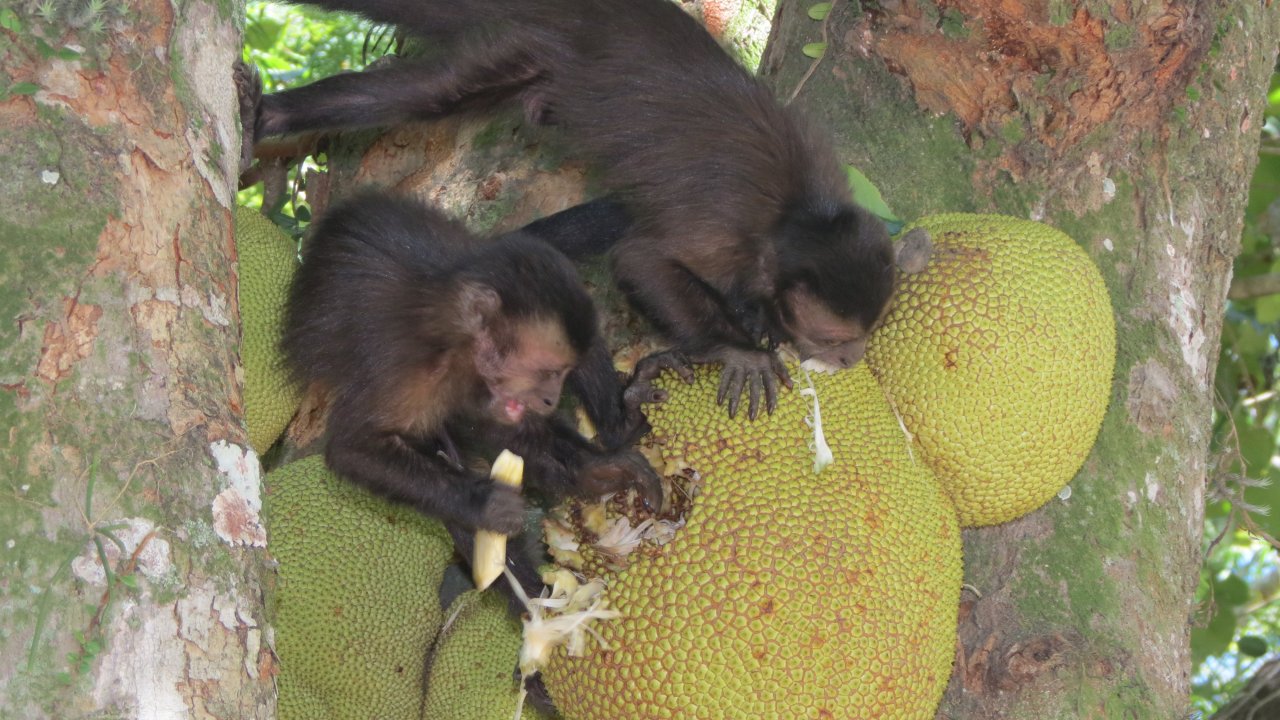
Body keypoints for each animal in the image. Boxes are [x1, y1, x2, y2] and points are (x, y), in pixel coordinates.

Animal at [241, 0, 930, 421]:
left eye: (867, 334)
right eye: (835, 339)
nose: (850, 359)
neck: (798, 213)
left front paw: (749, 325)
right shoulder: (726, 233)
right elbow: (641, 259)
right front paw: (736, 348)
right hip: (538, 41)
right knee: (435, 94)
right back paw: (276, 117)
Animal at [280, 190, 663, 594]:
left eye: (562, 374)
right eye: (547, 373)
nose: (550, 400)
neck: (460, 346)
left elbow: (501, 431)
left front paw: (597, 470)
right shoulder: (407, 372)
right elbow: (355, 449)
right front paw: (485, 504)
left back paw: (618, 429)